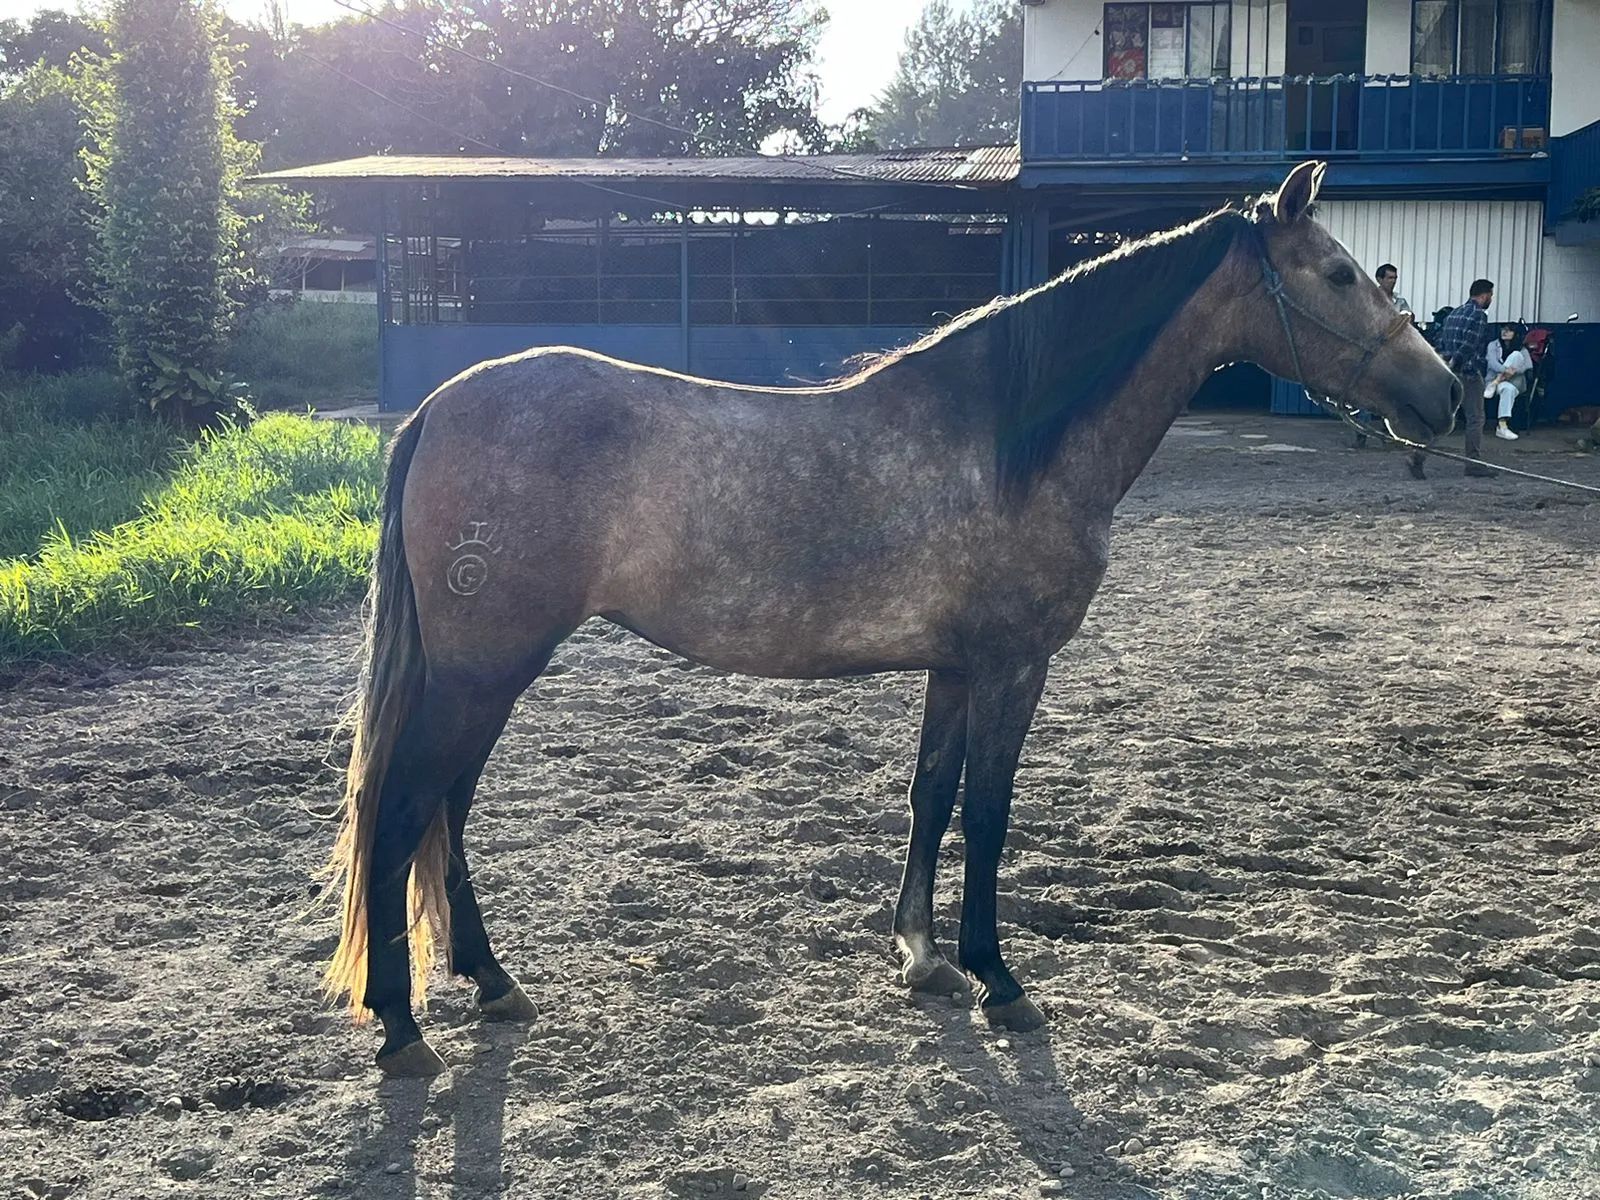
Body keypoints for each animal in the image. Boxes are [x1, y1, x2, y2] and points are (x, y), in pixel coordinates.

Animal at [324, 160, 1460, 1075]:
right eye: (1339, 275)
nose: (1445, 396)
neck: (1009, 440)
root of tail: (440, 406)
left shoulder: (954, 668)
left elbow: (930, 797)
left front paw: (923, 959)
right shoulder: (1011, 667)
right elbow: (990, 814)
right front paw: (1001, 980)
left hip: (486, 676)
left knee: (444, 812)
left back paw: (491, 984)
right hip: (482, 674)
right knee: (402, 811)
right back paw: (402, 1030)